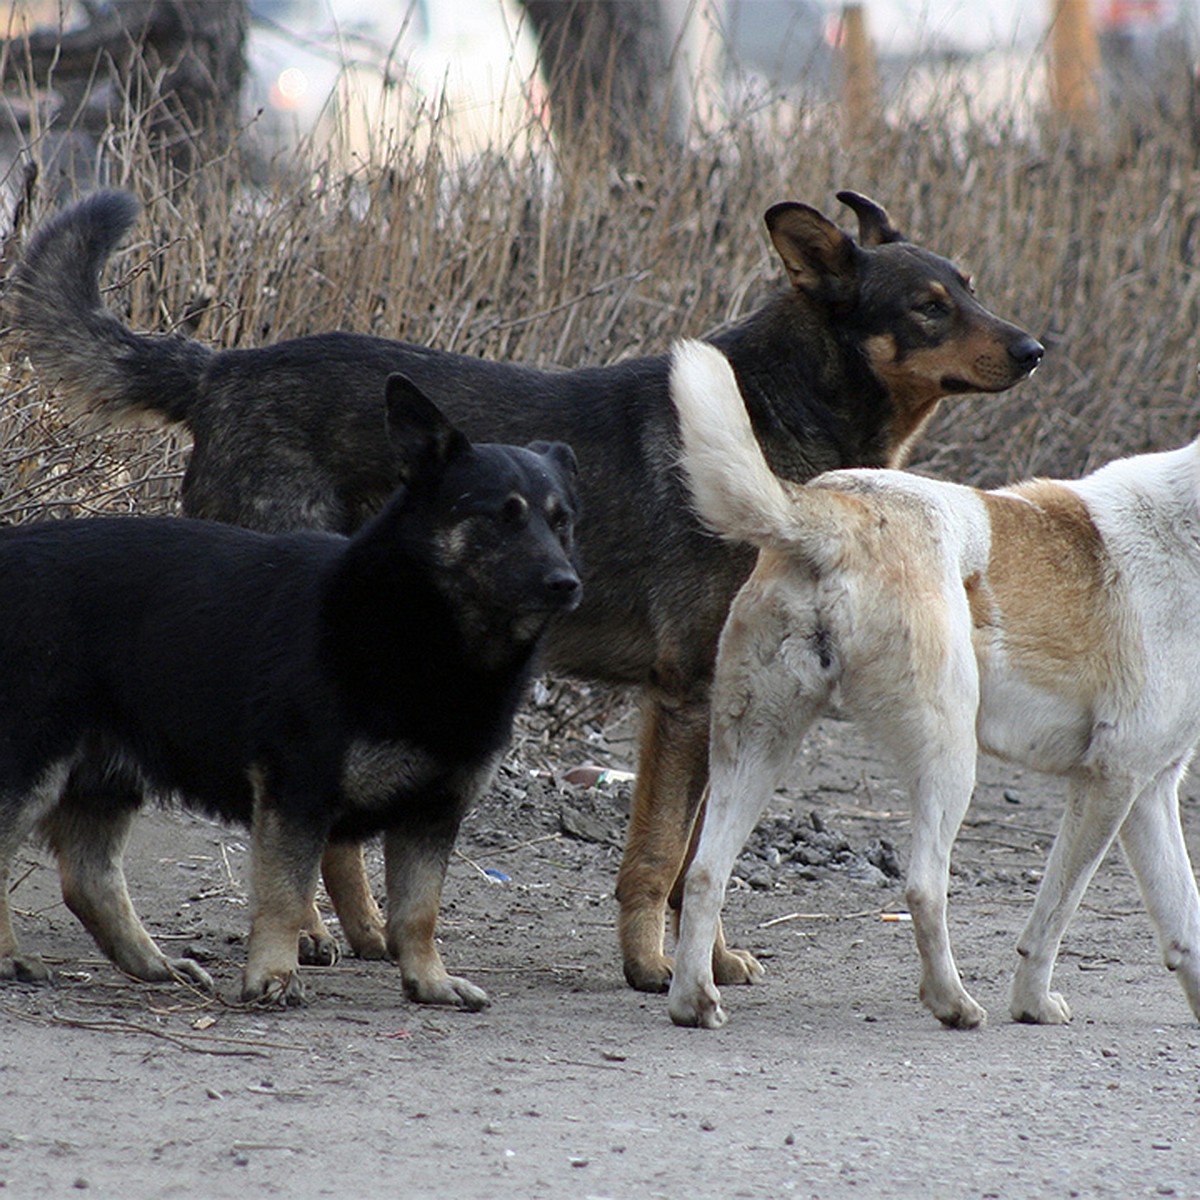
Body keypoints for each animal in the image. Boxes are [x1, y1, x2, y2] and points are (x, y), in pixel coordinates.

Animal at [0, 374, 580, 1003]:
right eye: (502, 516)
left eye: (562, 520)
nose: (567, 584)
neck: (423, 630)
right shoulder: (297, 795)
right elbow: (287, 894)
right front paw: (274, 974)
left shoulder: (432, 814)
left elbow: (417, 913)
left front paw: (429, 980)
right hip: (33, 764)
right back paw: (10, 958)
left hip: (108, 776)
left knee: (89, 879)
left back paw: (156, 965)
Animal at [667, 340, 1200, 1032]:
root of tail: (839, 508)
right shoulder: (1111, 780)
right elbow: (1054, 913)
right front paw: (1031, 1005)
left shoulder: (1150, 789)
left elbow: (1184, 921)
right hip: (950, 758)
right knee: (923, 884)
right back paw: (953, 1003)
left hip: (757, 748)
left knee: (706, 872)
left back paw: (693, 1000)